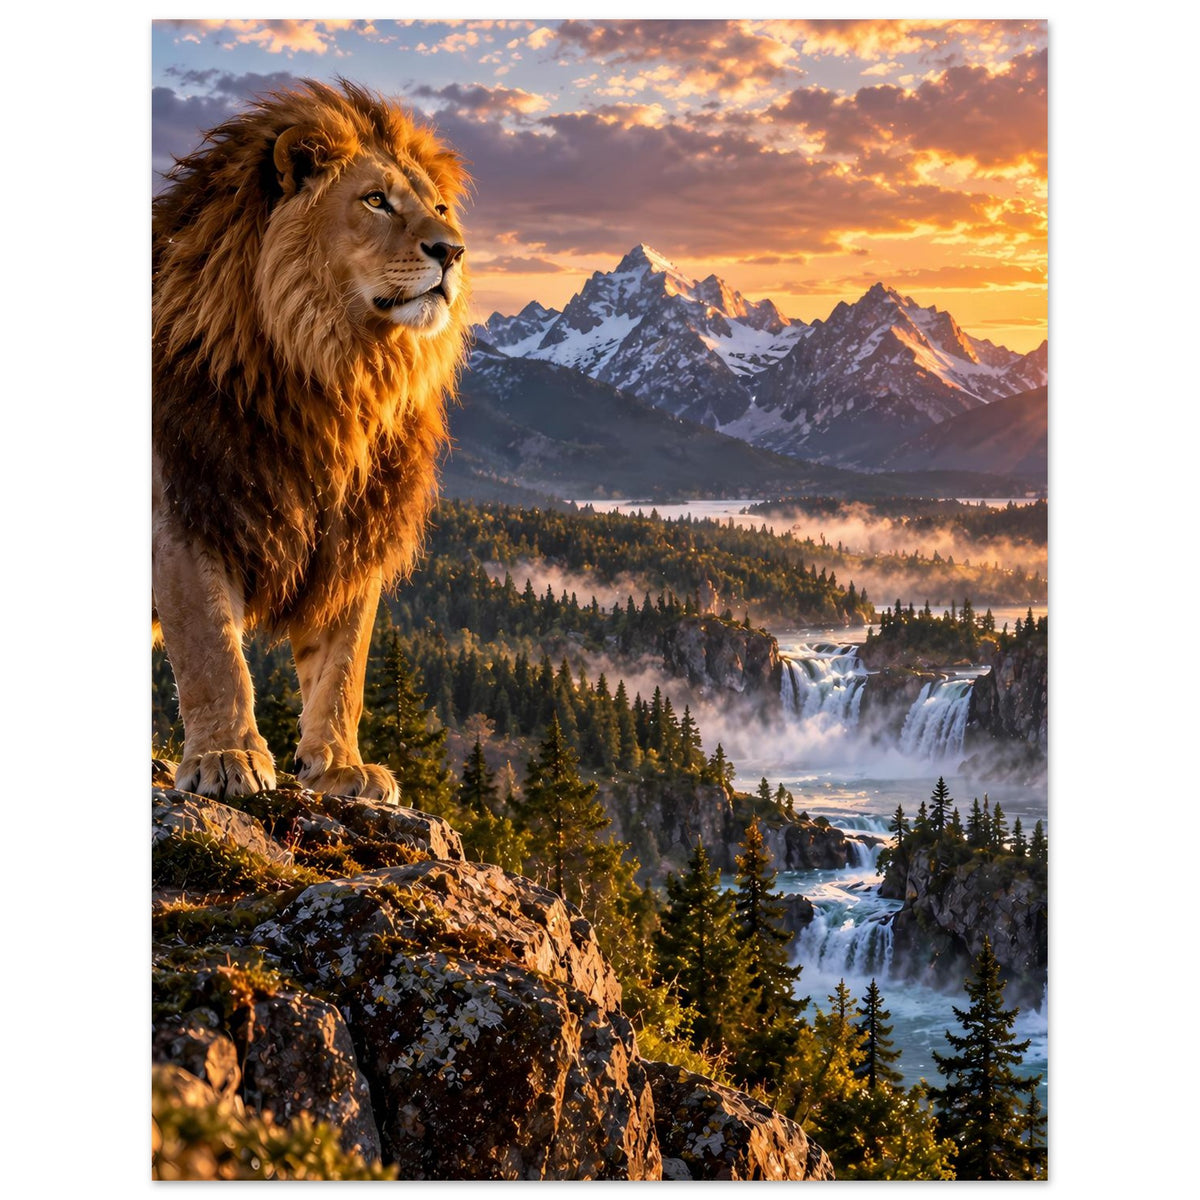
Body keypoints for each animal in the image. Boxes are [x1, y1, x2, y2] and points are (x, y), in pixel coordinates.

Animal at [153, 79, 470, 804]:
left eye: (439, 208)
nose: (452, 251)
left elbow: (344, 667)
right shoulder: (185, 505)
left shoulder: (352, 534)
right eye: (376, 200)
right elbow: (210, 647)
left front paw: (340, 768)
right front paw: (228, 756)